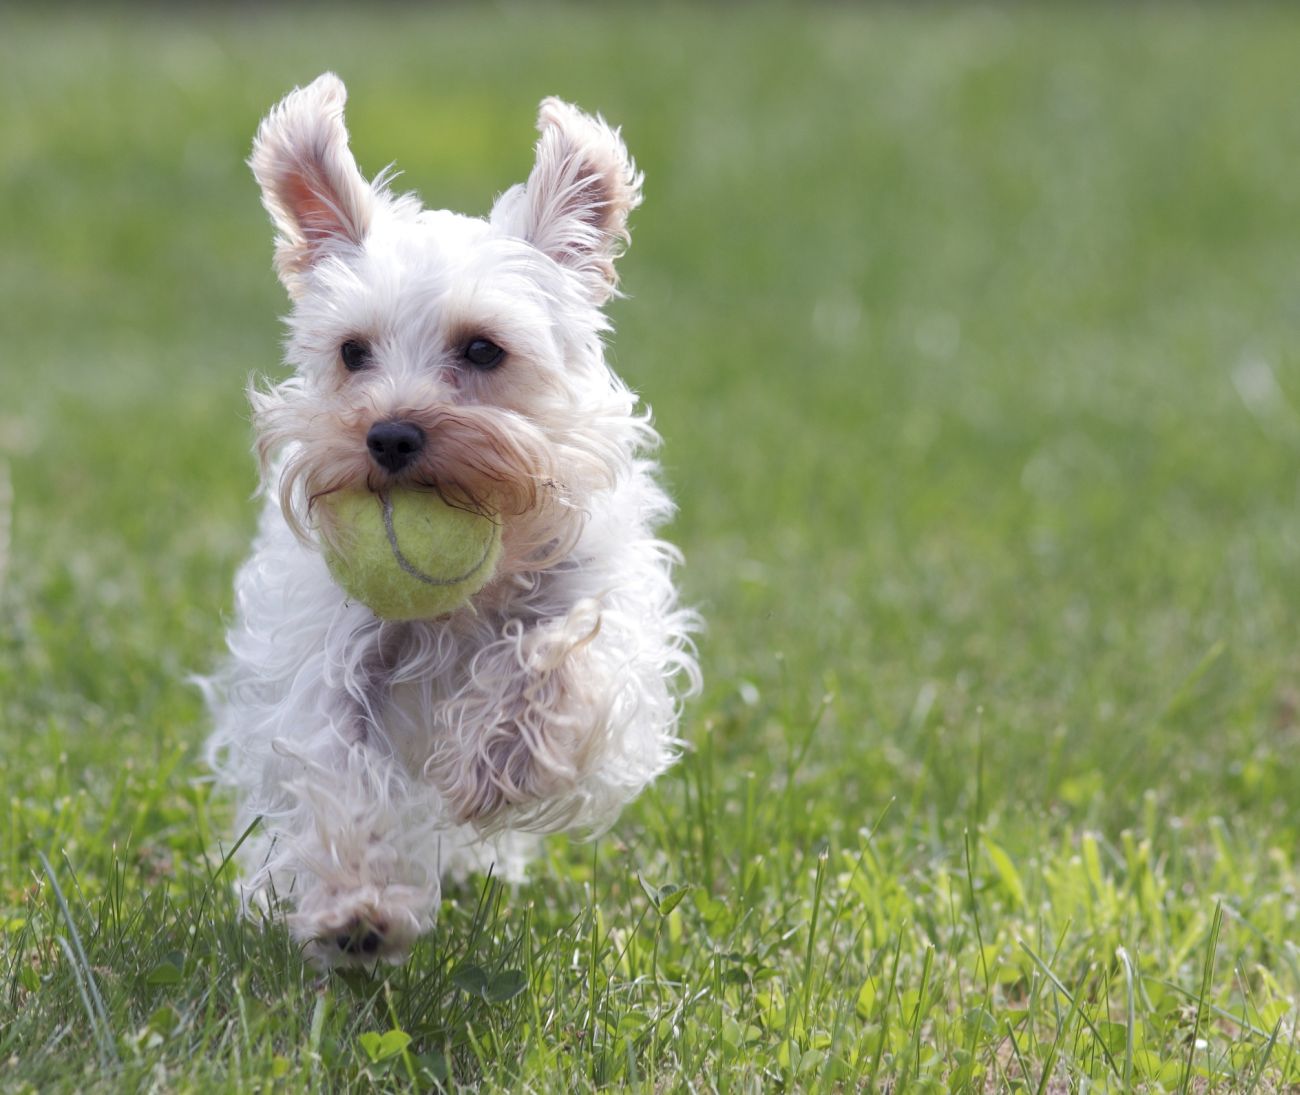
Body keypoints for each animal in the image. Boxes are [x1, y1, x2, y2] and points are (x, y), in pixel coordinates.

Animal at [200, 74, 702, 962]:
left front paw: (498, 759)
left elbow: (557, 661)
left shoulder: (604, 619)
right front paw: (358, 906)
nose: (389, 434)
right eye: (352, 351)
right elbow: (336, 764)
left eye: (482, 349)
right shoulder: (333, 650)